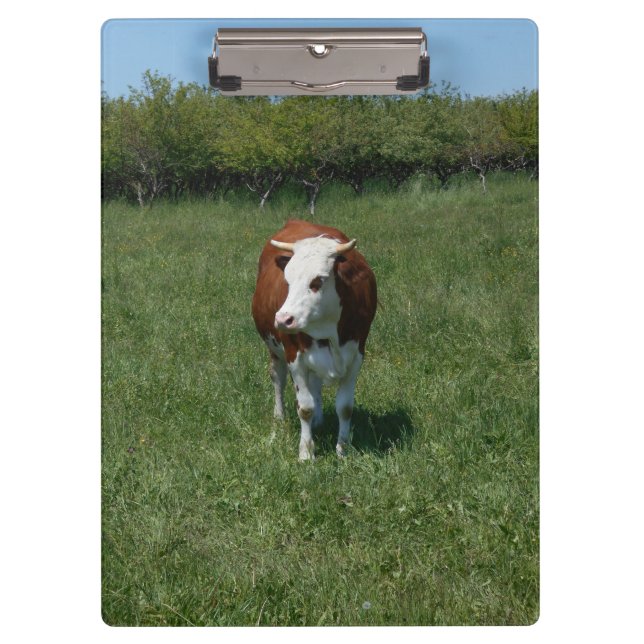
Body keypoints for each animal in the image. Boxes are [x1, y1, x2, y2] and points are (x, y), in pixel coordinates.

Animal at [252, 220, 377, 460]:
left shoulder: (356, 355)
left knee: (316, 383)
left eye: (318, 280)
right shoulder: (295, 357)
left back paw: (319, 420)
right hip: (275, 350)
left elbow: (345, 407)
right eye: (287, 280)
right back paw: (279, 418)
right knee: (278, 379)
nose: (283, 319)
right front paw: (306, 452)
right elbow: (305, 407)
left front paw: (342, 450)